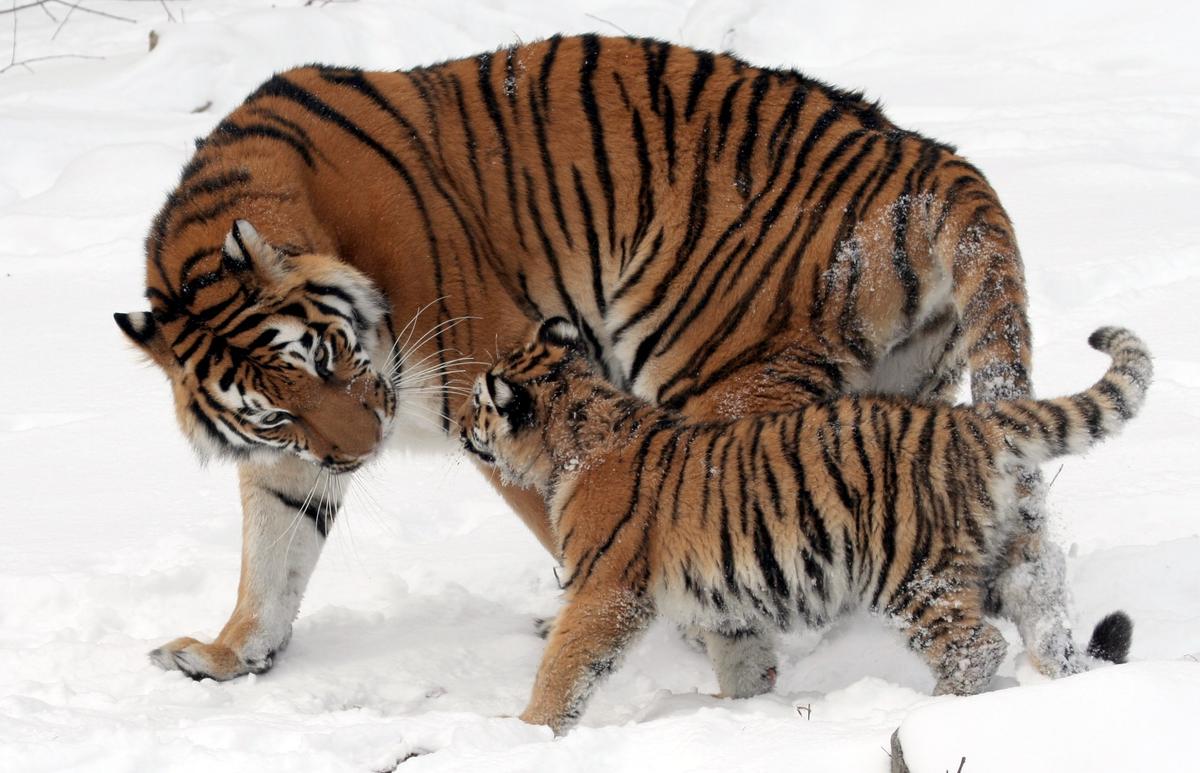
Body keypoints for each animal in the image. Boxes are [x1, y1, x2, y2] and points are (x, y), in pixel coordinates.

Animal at [115, 34, 1106, 685]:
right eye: (274, 408)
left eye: (325, 355)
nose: (361, 452)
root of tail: (926, 158)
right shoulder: (293, 456)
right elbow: (273, 551)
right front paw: (229, 654)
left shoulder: (495, 374)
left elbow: (573, 522)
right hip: (909, 394)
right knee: (1011, 542)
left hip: (715, 372)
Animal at [457, 319, 1149, 734]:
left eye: (477, 403)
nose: (459, 425)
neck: (577, 432)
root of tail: (971, 422)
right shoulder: (726, 601)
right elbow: (742, 660)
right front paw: (736, 709)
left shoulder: (604, 591)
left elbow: (565, 665)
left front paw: (525, 731)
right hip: (1010, 556)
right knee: (1045, 616)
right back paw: (1061, 685)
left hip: (911, 573)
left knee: (976, 647)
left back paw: (930, 711)